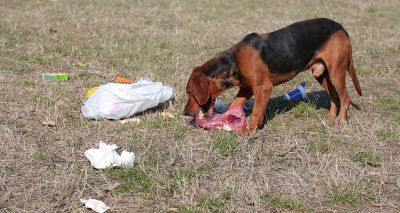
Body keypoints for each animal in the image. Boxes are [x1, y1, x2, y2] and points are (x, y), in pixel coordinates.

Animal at [184, 18, 362, 132]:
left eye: (190, 93)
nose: (185, 113)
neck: (234, 61)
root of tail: (341, 28)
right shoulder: (246, 89)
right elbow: (234, 105)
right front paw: (228, 120)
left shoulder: (263, 88)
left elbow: (257, 112)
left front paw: (249, 131)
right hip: (321, 74)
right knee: (334, 96)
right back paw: (331, 116)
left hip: (336, 73)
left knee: (345, 99)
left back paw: (340, 122)